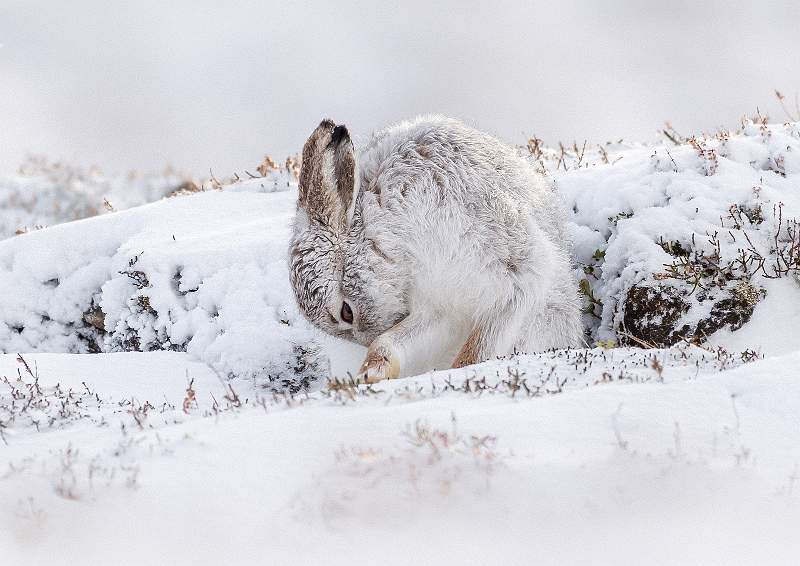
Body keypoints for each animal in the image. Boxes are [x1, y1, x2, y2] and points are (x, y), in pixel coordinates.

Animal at [289, 115, 583, 383]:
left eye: (346, 312)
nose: (366, 339)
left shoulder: (514, 275)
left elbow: (480, 346)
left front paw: (461, 371)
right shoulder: (438, 307)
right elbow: (390, 342)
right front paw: (371, 373)